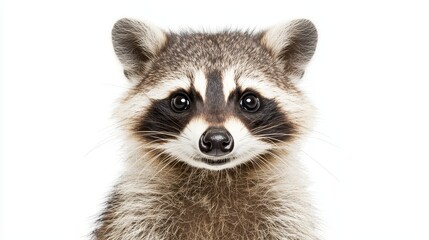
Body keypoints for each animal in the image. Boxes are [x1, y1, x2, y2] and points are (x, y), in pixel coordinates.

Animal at [93, 17, 318, 239]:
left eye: (250, 101)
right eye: (180, 101)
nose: (216, 139)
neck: (215, 176)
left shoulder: (286, 215)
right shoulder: (136, 213)